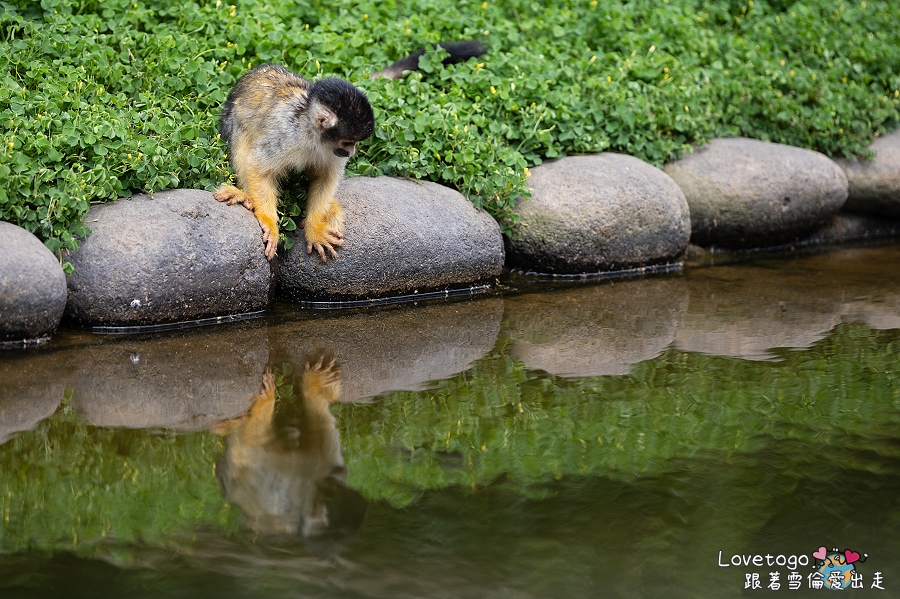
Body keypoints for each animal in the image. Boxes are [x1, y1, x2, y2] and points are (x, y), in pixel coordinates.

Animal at [214, 39, 488, 260]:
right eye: (348, 142)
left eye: (355, 143)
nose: (352, 153)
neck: (313, 137)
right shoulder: (287, 136)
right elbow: (258, 166)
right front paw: (270, 223)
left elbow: (326, 177)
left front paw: (315, 228)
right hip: (230, 119)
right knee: (242, 138)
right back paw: (245, 196)